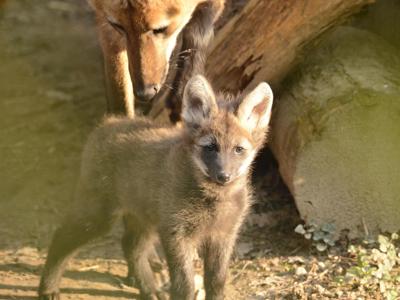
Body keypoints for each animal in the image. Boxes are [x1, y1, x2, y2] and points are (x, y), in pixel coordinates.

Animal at [37, 75, 274, 300]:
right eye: (210, 147)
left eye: (238, 149)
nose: (223, 176)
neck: (212, 202)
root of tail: (110, 121)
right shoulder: (176, 234)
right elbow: (184, 286)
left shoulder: (223, 235)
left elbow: (216, 283)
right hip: (99, 217)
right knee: (61, 236)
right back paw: (48, 288)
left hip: (144, 220)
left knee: (130, 246)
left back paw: (149, 290)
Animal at [88, 0, 225, 121]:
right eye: (118, 26)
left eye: (161, 29)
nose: (144, 93)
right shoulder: (108, 29)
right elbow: (119, 93)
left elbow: (198, 35)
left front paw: (181, 96)